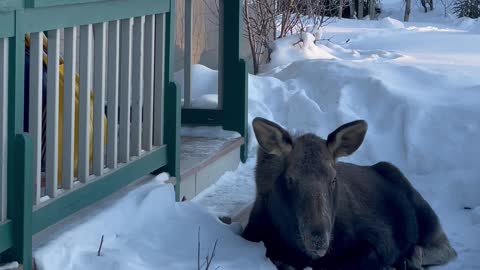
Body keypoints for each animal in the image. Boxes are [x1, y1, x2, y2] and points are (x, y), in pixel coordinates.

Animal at [244, 118, 458, 270]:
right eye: (290, 179)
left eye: (333, 178)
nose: (318, 239)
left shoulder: (380, 242)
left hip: (425, 215)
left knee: (447, 248)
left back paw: (411, 259)